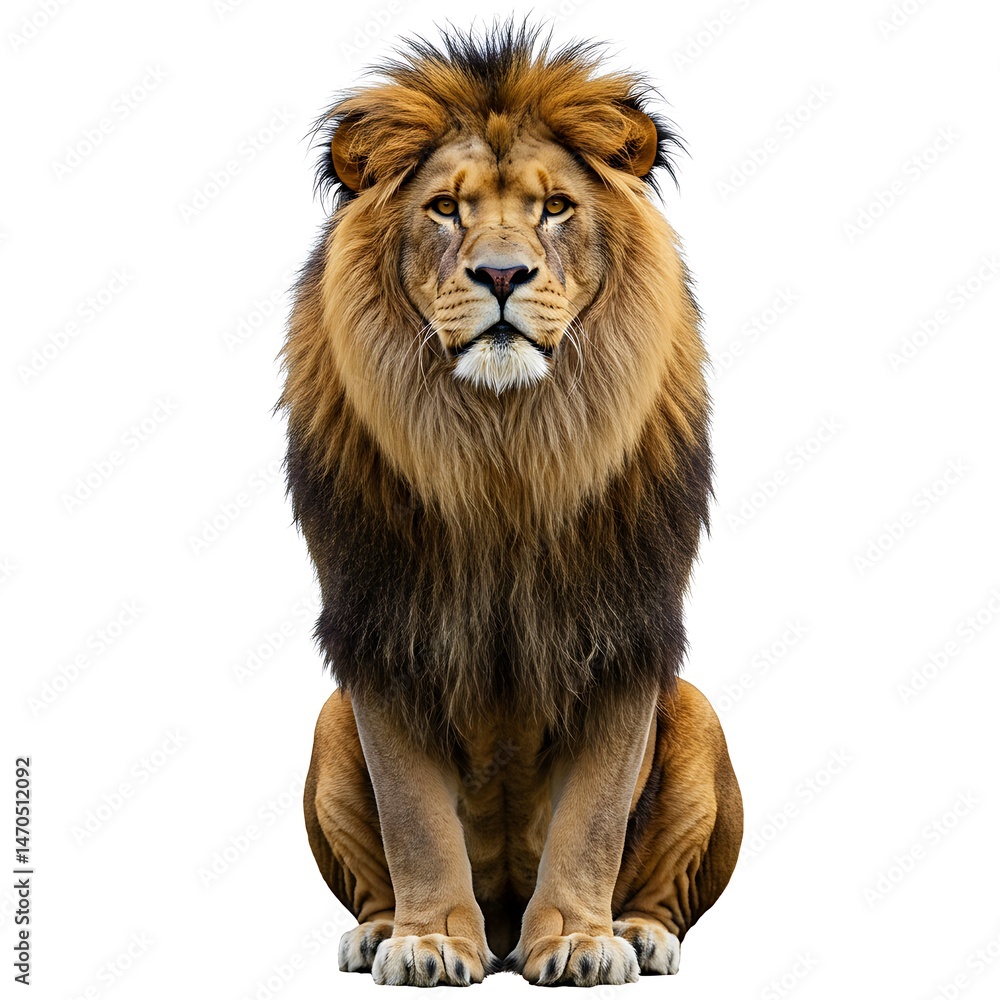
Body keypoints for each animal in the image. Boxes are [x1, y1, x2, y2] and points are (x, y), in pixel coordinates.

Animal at [281, 23, 742, 987]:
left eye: (556, 207)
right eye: (445, 209)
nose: (501, 274)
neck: (505, 447)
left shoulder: (623, 630)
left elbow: (595, 814)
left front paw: (579, 938)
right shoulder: (383, 633)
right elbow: (413, 817)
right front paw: (425, 940)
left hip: (698, 711)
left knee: (662, 887)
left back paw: (640, 932)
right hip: (329, 720)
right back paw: (379, 931)